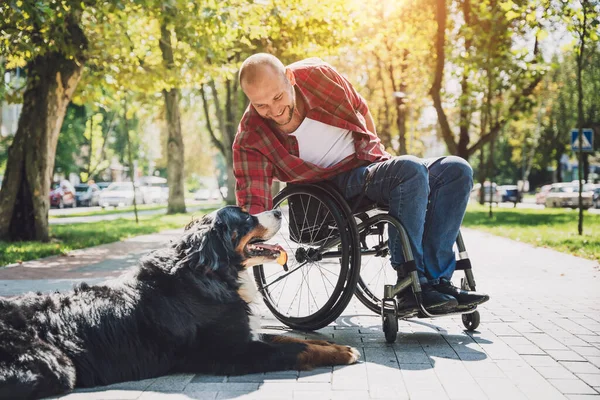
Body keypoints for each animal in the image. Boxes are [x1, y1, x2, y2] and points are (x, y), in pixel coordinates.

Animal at [0, 206, 358, 400]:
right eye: (245, 219)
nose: (280, 209)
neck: (211, 273)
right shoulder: (232, 351)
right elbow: (294, 349)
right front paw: (343, 353)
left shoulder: (245, 331)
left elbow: (295, 338)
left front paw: (337, 347)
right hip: (55, 366)